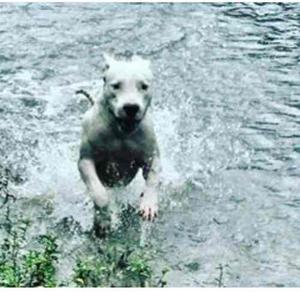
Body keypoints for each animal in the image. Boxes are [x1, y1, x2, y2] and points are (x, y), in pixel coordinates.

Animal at [78, 53, 161, 224]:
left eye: (144, 86)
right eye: (115, 85)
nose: (131, 107)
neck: (121, 132)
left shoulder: (151, 156)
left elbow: (153, 178)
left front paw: (149, 204)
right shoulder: (85, 161)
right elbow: (98, 193)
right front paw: (103, 219)